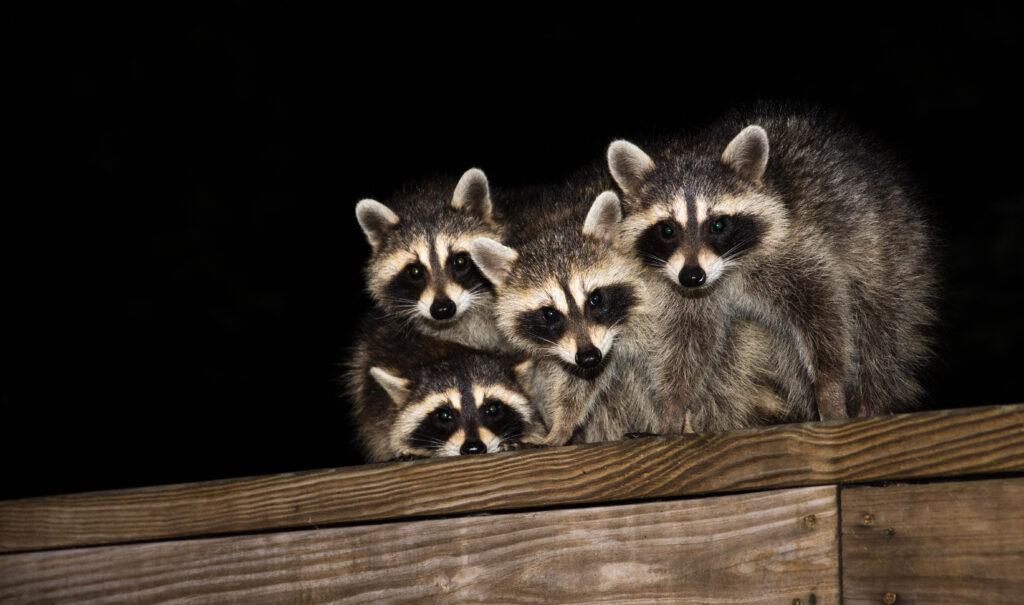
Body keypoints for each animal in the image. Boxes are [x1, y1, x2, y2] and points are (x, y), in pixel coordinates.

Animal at [470, 172, 665, 446]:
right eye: (550, 314)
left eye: (596, 299)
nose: (589, 356)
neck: (553, 224)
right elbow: (576, 382)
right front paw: (561, 427)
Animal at [606, 106, 936, 424]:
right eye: (667, 230)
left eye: (718, 225)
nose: (692, 277)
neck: (727, 270)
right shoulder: (687, 290)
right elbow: (689, 340)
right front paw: (675, 405)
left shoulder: (796, 246)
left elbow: (824, 313)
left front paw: (829, 385)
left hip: (890, 247)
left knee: (880, 325)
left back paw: (872, 396)